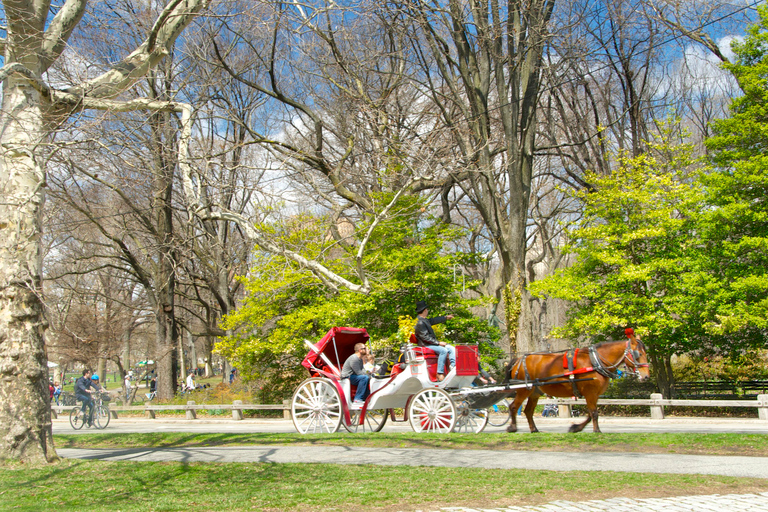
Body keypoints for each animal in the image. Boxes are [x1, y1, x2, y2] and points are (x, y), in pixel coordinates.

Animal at [508, 332, 652, 432]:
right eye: (638, 354)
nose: (646, 376)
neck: (595, 362)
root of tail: (519, 359)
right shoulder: (590, 392)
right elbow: (594, 413)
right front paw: (597, 430)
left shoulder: (594, 395)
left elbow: (590, 413)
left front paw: (576, 427)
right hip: (523, 390)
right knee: (513, 406)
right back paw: (512, 427)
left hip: (534, 392)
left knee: (528, 411)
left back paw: (534, 429)